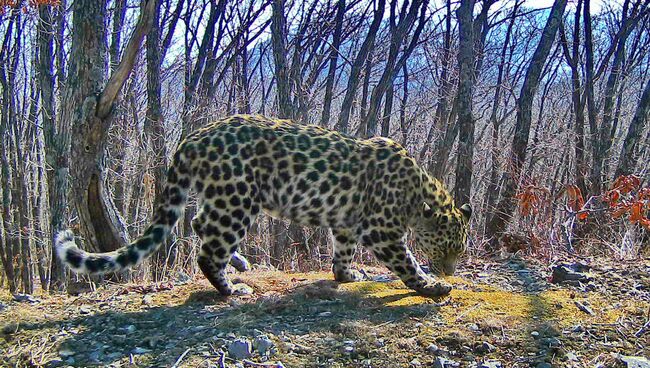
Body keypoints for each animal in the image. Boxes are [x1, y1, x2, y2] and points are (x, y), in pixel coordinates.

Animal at [55, 113, 468, 298]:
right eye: (447, 248)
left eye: (459, 251)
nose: (450, 270)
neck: (418, 192)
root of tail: (193, 137)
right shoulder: (382, 230)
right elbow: (406, 261)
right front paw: (431, 286)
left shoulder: (346, 222)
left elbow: (343, 249)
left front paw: (346, 275)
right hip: (236, 200)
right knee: (208, 250)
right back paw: (232, 288)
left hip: (222, 198)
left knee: (200, 225)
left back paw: (239, 263)